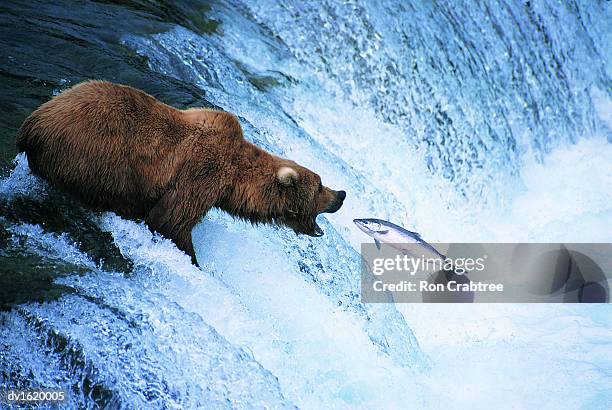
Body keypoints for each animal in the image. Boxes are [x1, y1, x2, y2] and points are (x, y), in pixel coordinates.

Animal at [17, 81, 344, 264]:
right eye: (319, 185)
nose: (341, 194)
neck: (234, 180)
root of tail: (34, 123)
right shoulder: (202, 173)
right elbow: (171, 221)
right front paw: (193, 260)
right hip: (94, 157)